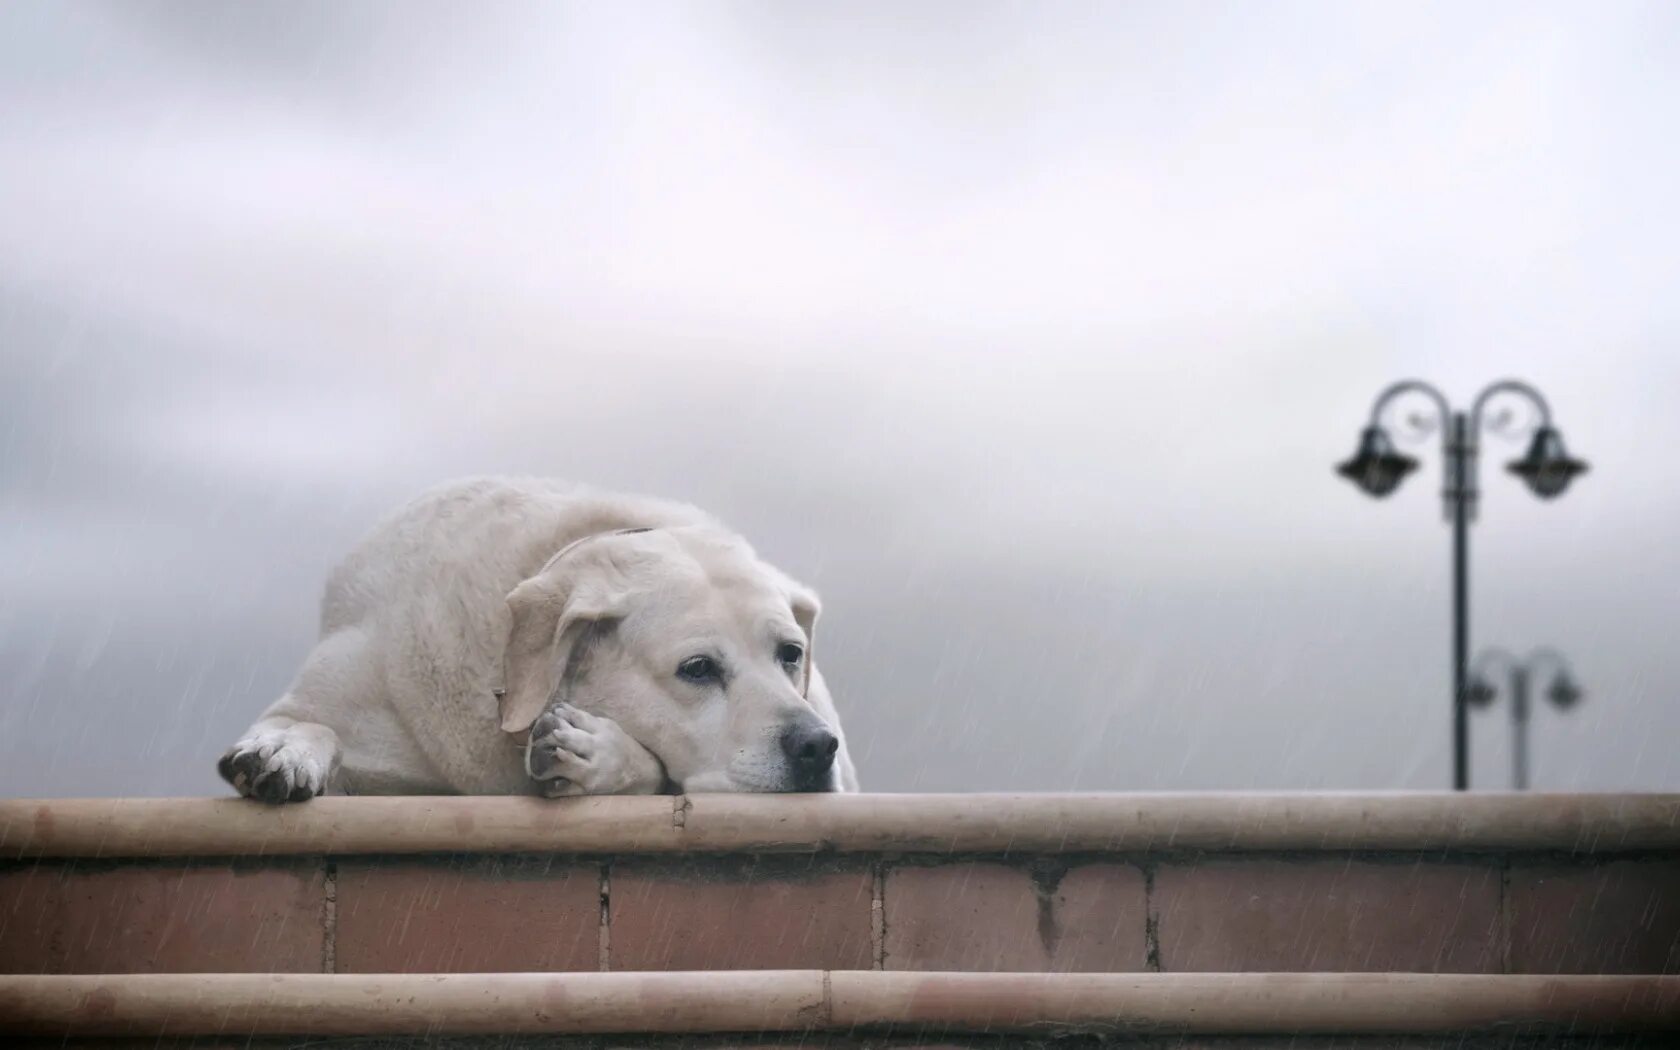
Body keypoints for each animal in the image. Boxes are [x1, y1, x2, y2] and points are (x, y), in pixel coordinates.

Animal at [216, 480, 860, 799]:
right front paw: (283, 750)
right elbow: (309, 722)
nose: (815, 747)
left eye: (790, 654)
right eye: (698, 668)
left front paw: (595, 753)